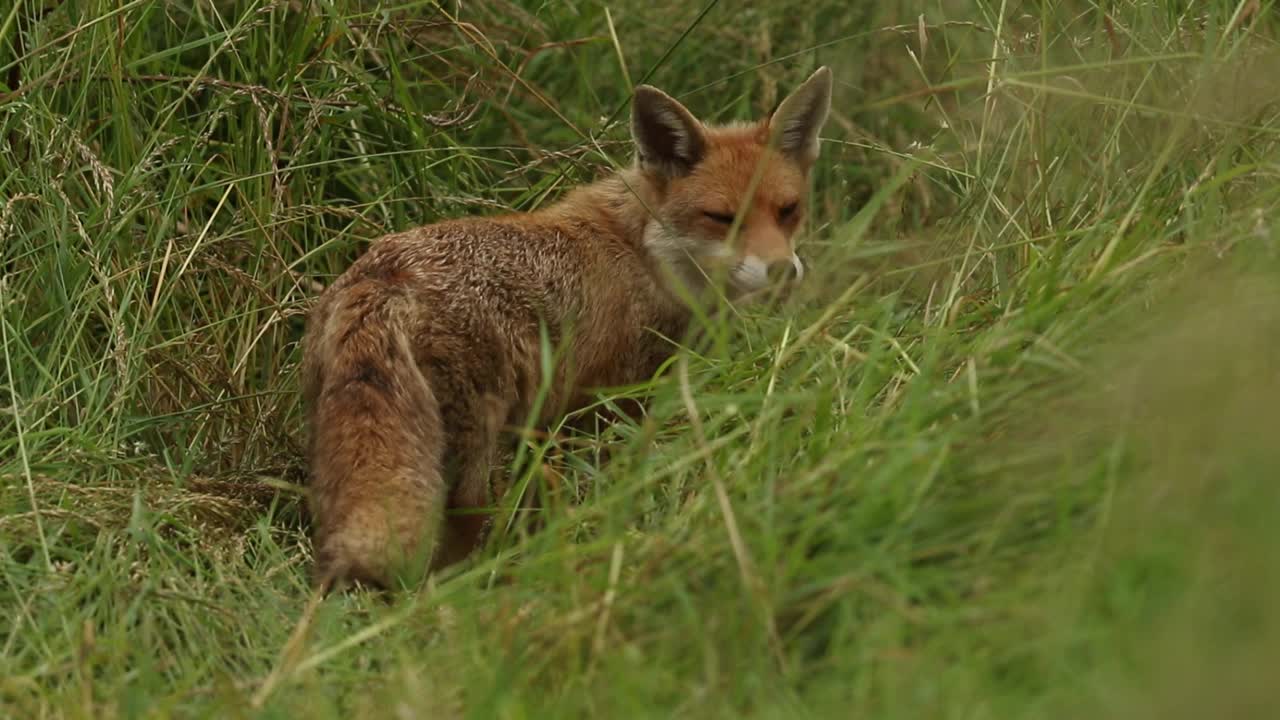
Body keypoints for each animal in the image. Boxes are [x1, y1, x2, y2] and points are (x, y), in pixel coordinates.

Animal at [303, 64, 834, 586]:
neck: (646, 255)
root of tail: (384, 275)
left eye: (788, 210)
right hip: (470, 459)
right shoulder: (602, 406)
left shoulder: (546, 424)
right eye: (722, 218)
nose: (783, 270)